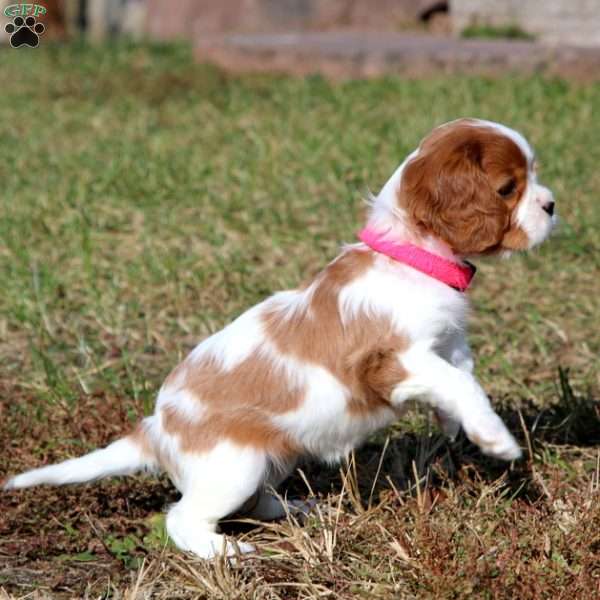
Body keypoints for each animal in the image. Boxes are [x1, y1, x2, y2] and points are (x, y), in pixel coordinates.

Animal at [3, 117, 556, 556]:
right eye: (508, 187)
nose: (551, 205)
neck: (411, 256)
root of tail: (156, 431)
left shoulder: (447, 342)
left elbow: (462, 374)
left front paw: (459, 425)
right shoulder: (390, 360)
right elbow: (459, 382)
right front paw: (498, 440)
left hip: (274, 458)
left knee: (255, 502)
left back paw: (299, 508)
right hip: (234, 467)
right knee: (183, 517)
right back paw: (224, 552)